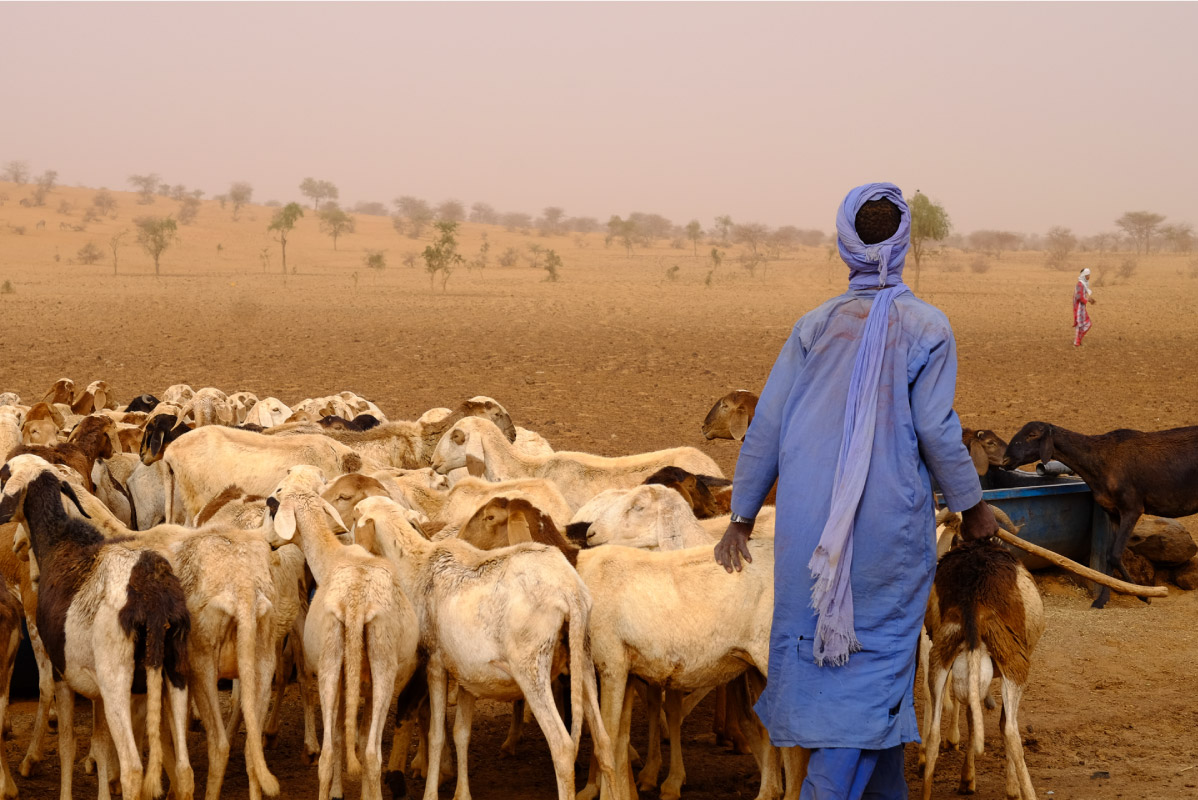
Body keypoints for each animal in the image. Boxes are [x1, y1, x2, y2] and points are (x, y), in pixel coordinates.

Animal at [1001, 419, 1198, 605]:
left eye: (1032, 435)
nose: (1005, 460)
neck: (1098, 463)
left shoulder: (1132, 508)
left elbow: (1115, 555)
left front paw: (1143, 596)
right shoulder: (1112, 512)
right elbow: (1109, 555)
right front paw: (1103, 599)